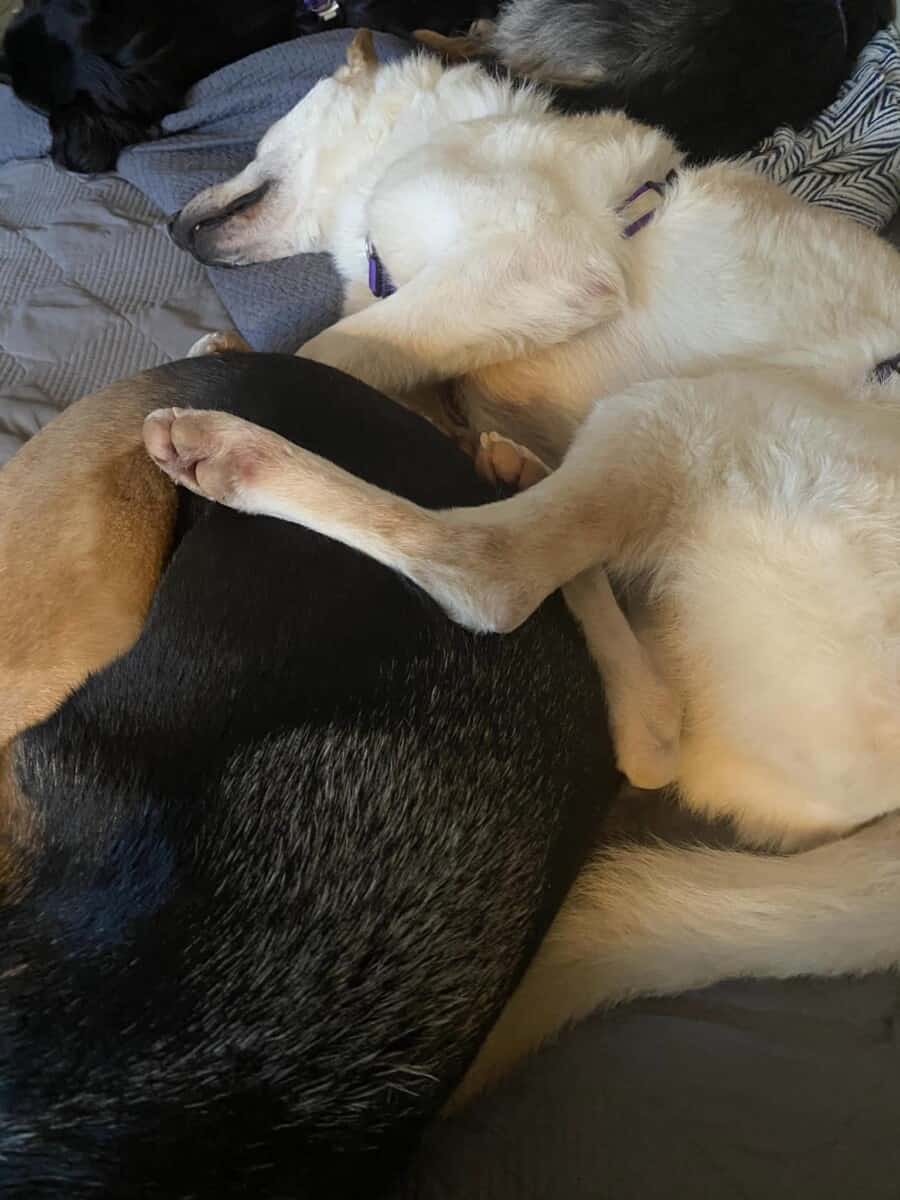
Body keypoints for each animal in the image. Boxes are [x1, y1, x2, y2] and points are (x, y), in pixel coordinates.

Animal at [160, 38, 900, 1093]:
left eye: (261, 137)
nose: (174, 226)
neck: (446, 127)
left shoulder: (540, 265)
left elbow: (333, 348)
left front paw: (253, 365)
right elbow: (382, 362)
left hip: (700, 412)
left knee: (495, 571)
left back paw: (236, 453)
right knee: (650, 733)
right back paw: (514, 471)